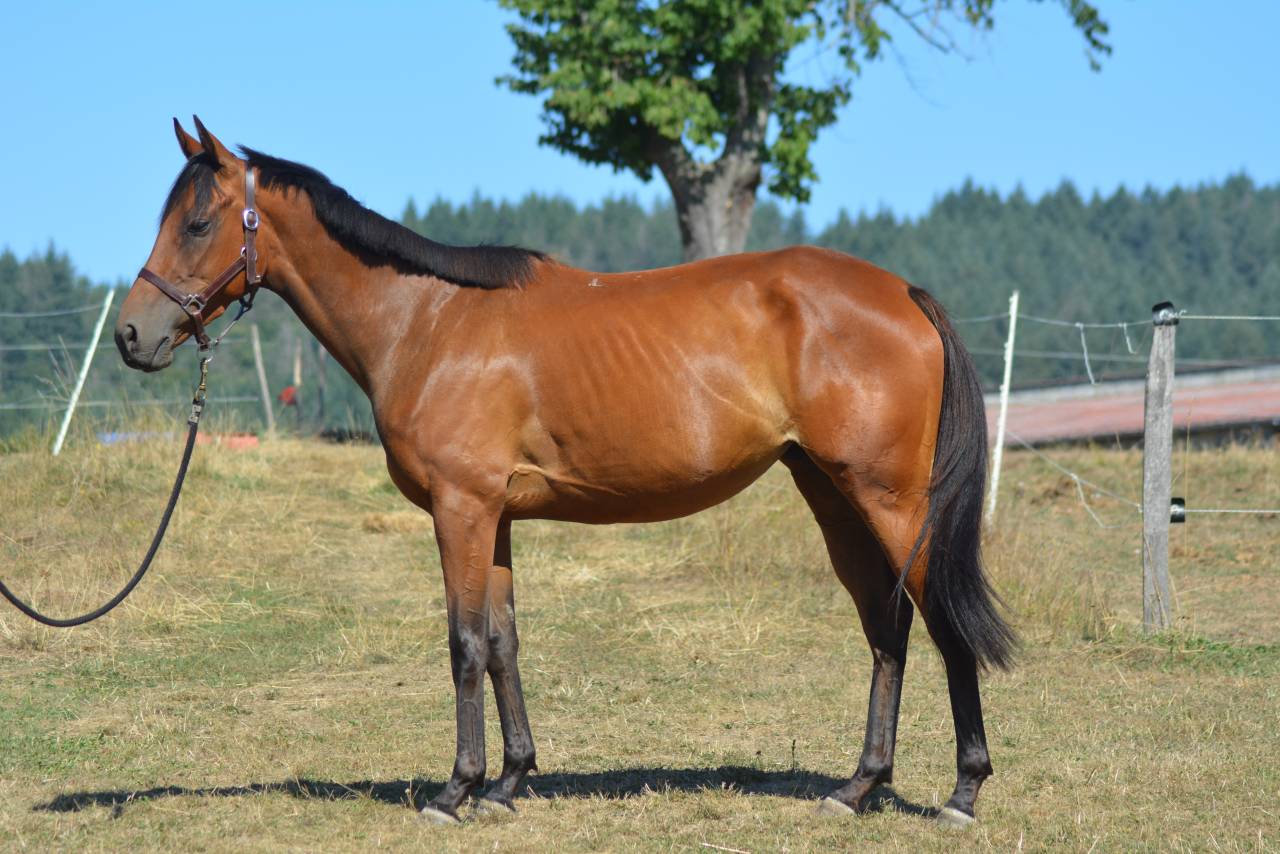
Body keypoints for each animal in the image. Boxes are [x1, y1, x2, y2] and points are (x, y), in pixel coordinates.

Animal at [115, 118, 1015, 828]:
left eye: (198, 222)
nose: (131, 335)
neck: (427, 322)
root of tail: (902, 292)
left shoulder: (461, 509)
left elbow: (464, 643)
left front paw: (455, 791)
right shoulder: (496, 517)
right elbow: (504, 641)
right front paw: (508, 782)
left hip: (890, 500)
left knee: (940, 622)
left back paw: (962, 794)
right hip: (831, 494)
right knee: (886, 627)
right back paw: (858, 788)